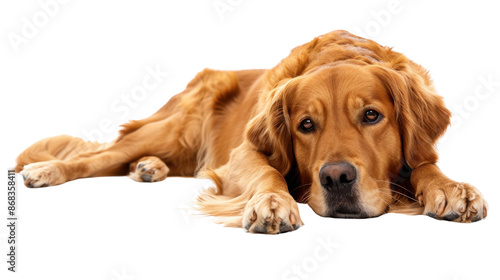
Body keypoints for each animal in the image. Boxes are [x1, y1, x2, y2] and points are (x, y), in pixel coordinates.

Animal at [17, 29, 486, 233]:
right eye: (306, 125)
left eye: (371, 116)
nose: (336, 178)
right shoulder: (243, 154)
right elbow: (268, 172)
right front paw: (272, 203)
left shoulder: (420, 152)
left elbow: (425, 166)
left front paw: (453, 189)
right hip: (169, 130)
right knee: (92, 157)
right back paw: (45, 171)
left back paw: (148, 168)